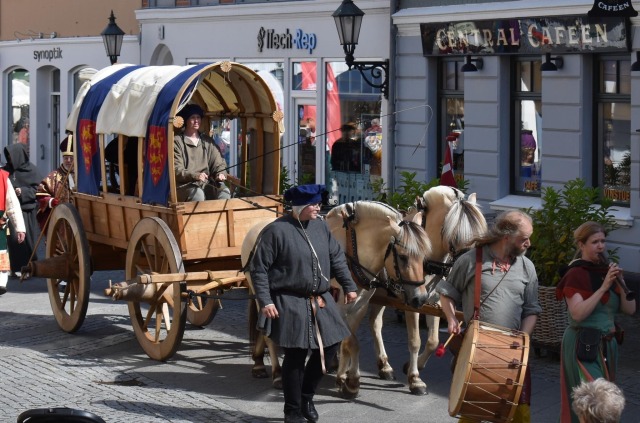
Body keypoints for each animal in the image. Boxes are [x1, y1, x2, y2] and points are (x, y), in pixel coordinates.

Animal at [242, 201, 432, 390]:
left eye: (424, 256)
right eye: (403, 257)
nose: (420, 298)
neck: (353, 248)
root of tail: (257, 227)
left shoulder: (359, 305)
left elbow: (347, 342)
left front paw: (343, 376)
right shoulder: (339, 307)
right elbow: (352, 342)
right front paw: (352, 381)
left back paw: (260, 364)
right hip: (263, 298)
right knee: (268, 335)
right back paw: (277, 374)